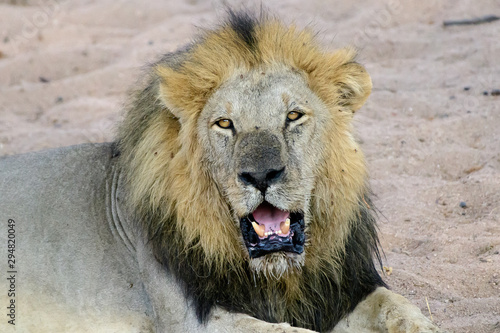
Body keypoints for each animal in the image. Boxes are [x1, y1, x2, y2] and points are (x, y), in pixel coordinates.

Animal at [0, 10, 446, 332]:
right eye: (225, 124)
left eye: (294, 116)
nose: (261, 176)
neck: (278, 274)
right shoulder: (186, 318)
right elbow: (283, 332)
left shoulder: (342, 290)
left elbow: (398, 306)